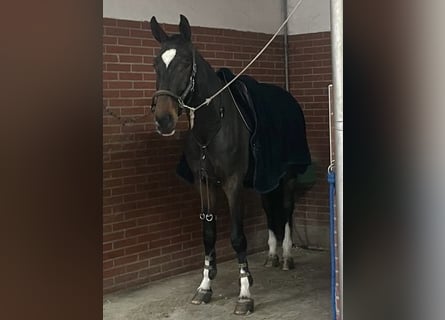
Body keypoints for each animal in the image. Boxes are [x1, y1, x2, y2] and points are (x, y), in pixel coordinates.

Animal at [149, 15, 308, 316]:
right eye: (156, 64)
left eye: (185, 62)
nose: (164, 119)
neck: (211, 126)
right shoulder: (204, 183)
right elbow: (209, 234)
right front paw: (204, 287)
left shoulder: (233, 184)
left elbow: (237, 237)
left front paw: (245, 293)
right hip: (264, 178)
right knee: (269, 209)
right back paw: (272, 254)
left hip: (288, 175)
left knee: (286, 210)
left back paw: (286, 256)